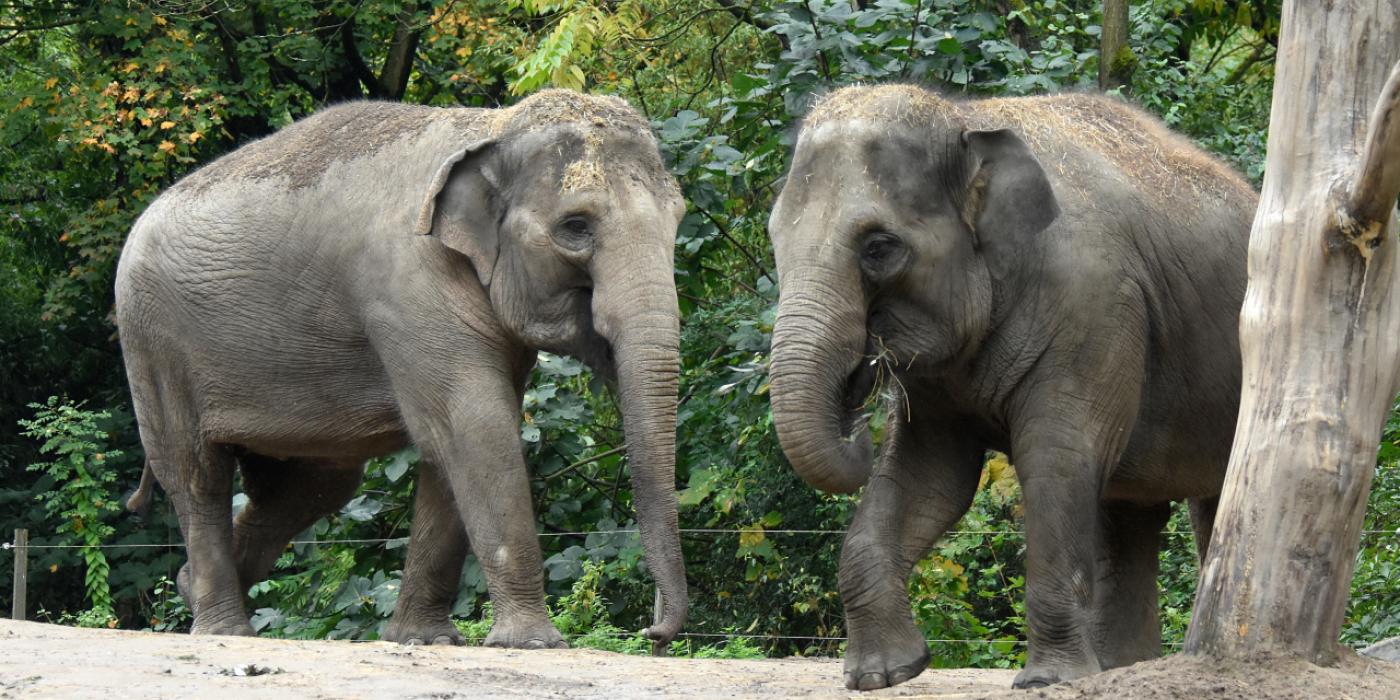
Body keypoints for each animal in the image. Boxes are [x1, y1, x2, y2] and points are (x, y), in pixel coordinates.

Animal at [113, 88, 688, 649]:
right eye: (575, 227)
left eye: (677, 219)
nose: (653, 633)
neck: (492, 127)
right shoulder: (410, 285)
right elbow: (474, 429)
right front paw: (533, 644)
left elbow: (451, 448)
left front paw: (424, 640)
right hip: (153, 343)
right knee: (199, 475)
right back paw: (222, 628)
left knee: (311, 487)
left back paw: (188, 586)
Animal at [767, 83, 1260, 688]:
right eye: (773, 236)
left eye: (878, 247)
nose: (858, 412)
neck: (967, 119)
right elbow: (931, 476)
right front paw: (882, 675)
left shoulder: (1093, 305)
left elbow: (1056, 460)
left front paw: (1048, 680)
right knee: (1131, 509)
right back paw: (1121, 668)